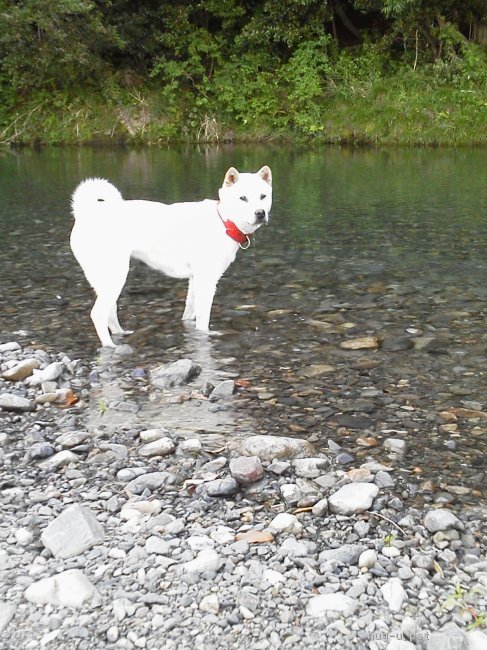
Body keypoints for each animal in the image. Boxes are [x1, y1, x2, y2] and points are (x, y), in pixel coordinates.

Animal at [70, 167, 272, 346]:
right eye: (243, 198)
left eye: (263, 196)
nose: (260, 213)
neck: (223, 221)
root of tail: (85, 214)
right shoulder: (206, 281)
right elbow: (203, 320)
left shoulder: (195, 279)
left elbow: (190, 312)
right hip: (116, 274)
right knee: (98, 314)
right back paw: (110, 346)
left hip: (105, 279)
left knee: (109, 313)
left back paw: (122, 333)